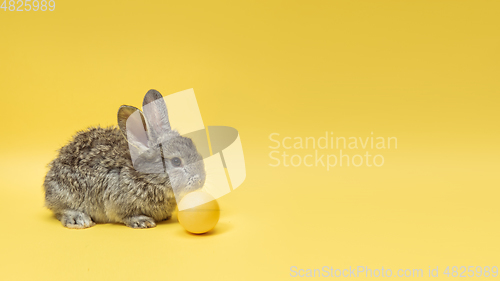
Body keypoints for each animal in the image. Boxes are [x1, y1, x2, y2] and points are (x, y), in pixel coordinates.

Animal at [43, 89, 205, 228]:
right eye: (176, 161)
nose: (201, 180)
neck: (146, 177)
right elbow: (125, 215)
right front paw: (142, 221)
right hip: (67, 193)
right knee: (60, 209)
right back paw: (79, 219)